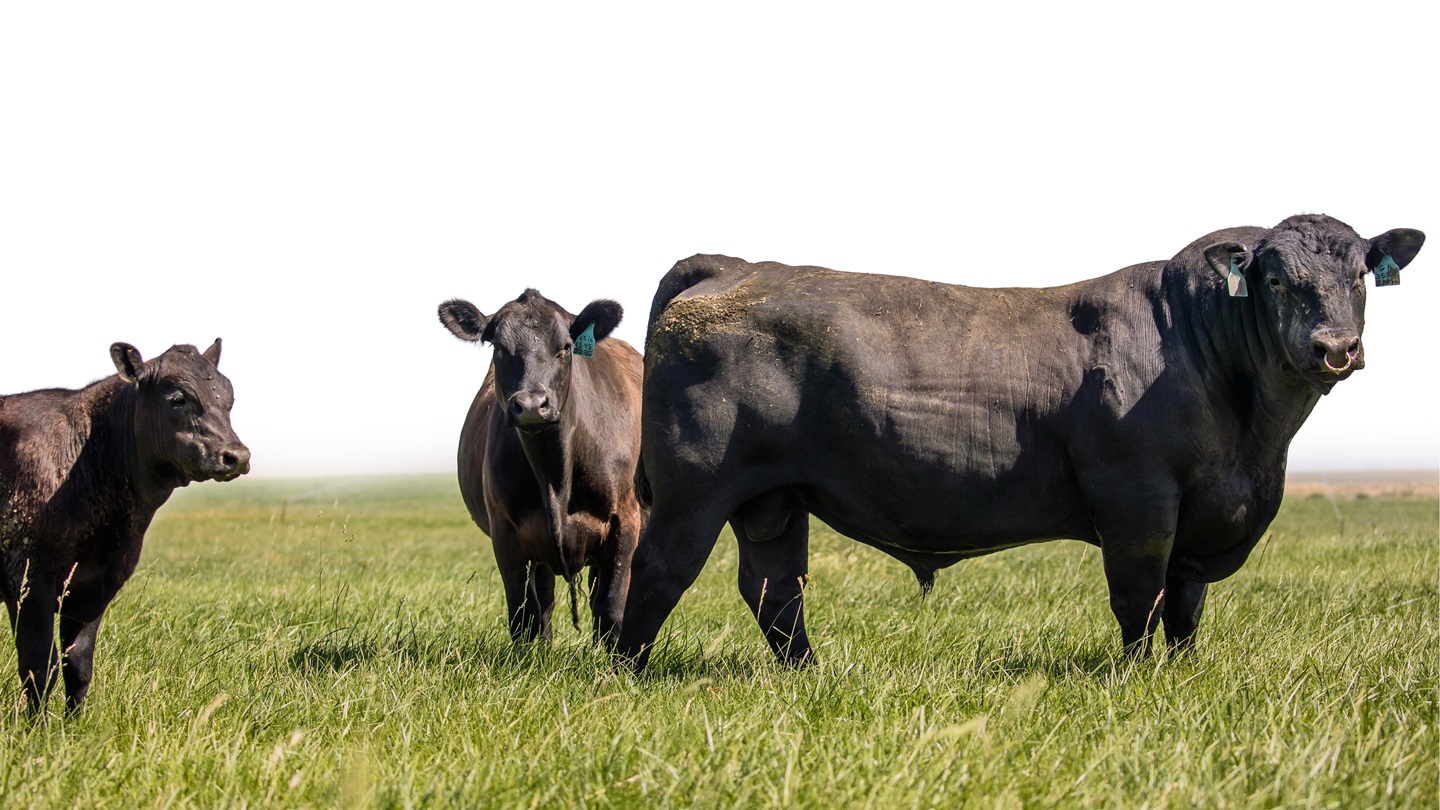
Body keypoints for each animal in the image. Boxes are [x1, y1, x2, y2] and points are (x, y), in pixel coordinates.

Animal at [1, 340, 250, 714]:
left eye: (229, 399)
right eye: (178, 398)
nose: (236, 455)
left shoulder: (99, 583)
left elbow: (78, 664)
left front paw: (74, 725)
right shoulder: (28, 576)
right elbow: (40, 667)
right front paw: (37, 727)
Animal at [438, 290, 645, 644]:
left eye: (565, 347)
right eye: (499, 348)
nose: (533, 405)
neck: (555, 474)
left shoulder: (625, 522)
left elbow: (611, 610)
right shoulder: (505, 534)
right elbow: (525, 615)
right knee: (544, 602)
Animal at [614, 214, 1425, 672]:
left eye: (1359, 275)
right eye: (1278, 280)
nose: (1335, 347)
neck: (1253, 443)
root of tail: (736, 265)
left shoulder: (1204, 511)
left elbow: (1186, 607)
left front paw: (1183, 674)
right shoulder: (1139, 499)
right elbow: (1141, 597)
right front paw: (1140, 679)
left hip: (775, 499)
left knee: (775, 590)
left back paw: (811, 677)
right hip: (694, 490)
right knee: (657, 571)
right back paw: (628, 672)